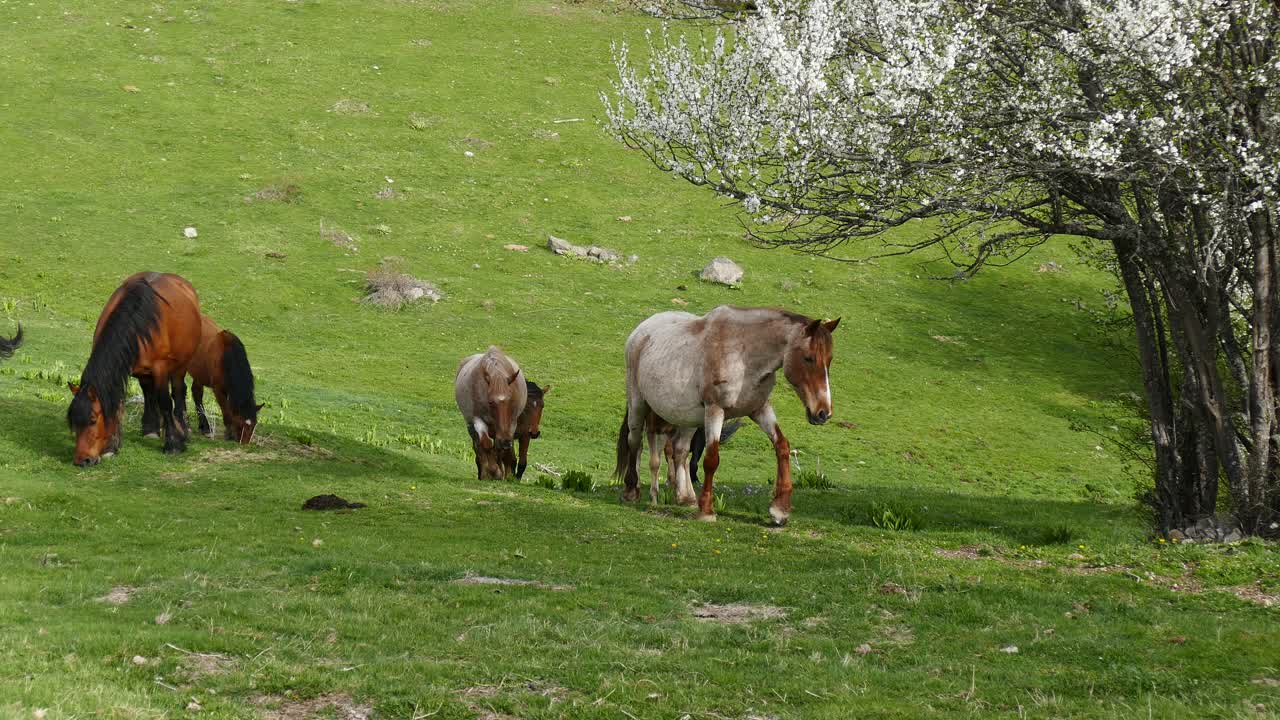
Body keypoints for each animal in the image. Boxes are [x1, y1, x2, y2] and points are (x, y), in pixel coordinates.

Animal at [66, 272, 201, 466]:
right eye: (73, 423)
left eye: (92, 420)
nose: (82, 460)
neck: (138, 321)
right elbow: (118, 406)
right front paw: (111, 447)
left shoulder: (161, 368)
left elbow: (165, 402)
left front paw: (173, 443)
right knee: (149, 392)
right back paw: (151, 429)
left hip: (181, 365)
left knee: (178, 392)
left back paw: (184, 428)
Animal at [188, 314, 263, 444]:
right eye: (240, 424)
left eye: (254, 425)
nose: (244, 443)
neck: (226, 356)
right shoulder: (218, 390)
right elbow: (226, 411)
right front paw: (228, 433)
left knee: (197, 393)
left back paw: (204, 426)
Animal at [455, 346, 527, 480]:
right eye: (490, 402)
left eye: (510, 400)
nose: (504, 441)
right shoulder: (477, 419)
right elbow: (486, 444)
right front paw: (494, 471)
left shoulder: (511, 423)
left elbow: (501, 449)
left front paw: (504, 474)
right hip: (471, 425)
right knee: (478, 446)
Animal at [614, 306, 840, 524]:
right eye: (808, 358)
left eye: (829, 360)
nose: (823, 412)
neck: (743, 355)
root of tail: (640, 331)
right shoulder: (715, 410)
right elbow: (711, 459)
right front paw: (706, 510)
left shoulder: (760, 409)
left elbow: (782, 446)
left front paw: (779, 510)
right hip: (638, 403)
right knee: (635, 441)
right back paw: (631, 491)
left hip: (687, 417)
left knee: (680, 450)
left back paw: (685, 498)